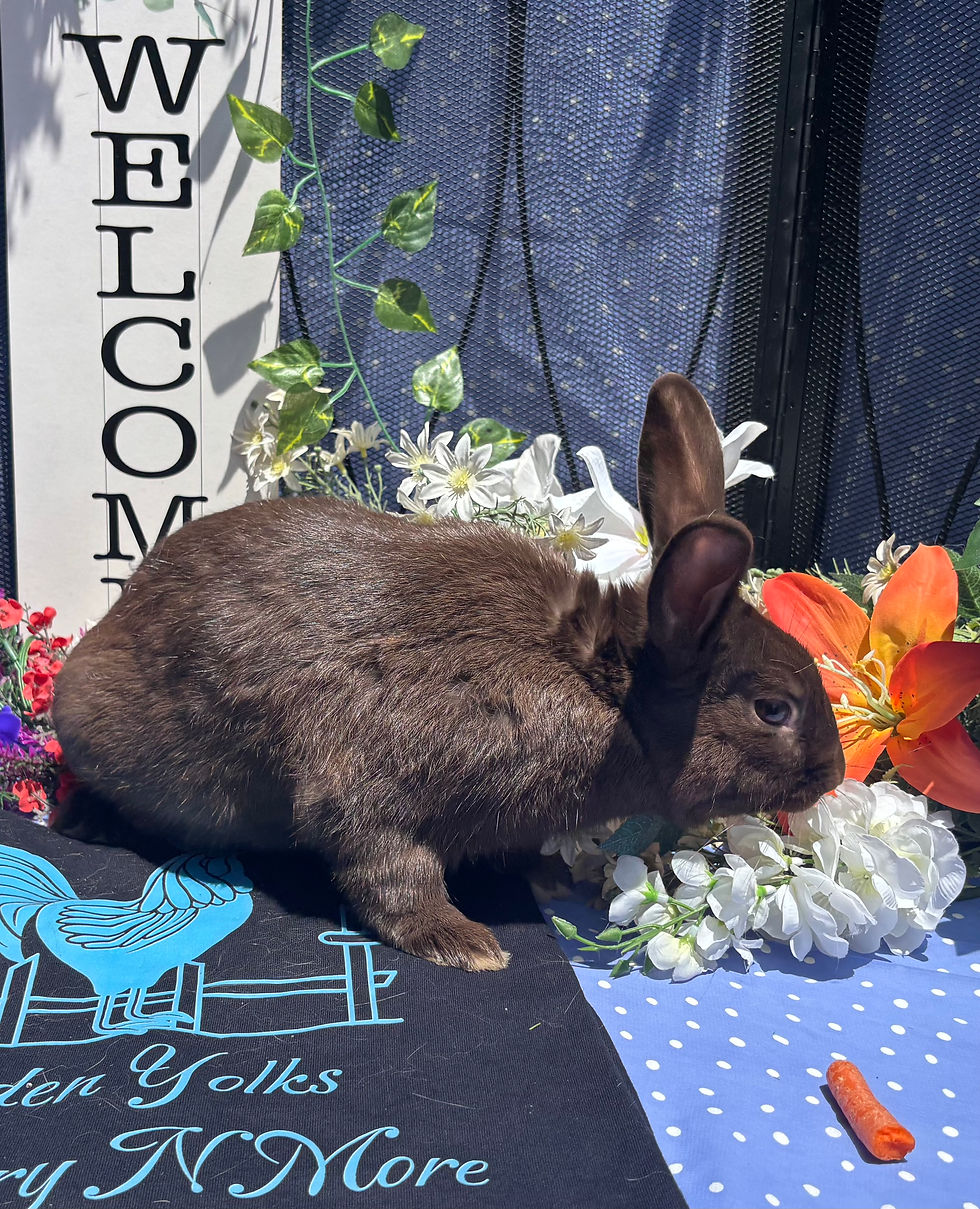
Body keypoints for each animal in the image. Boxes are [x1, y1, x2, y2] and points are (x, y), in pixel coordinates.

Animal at [52, 374, 845, 972]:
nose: (833, 774)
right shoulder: (374, 788)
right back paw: (84, 820)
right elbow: (392, 872)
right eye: (773, 709)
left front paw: (549, 877)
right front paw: (464, 944)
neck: (596, 682)